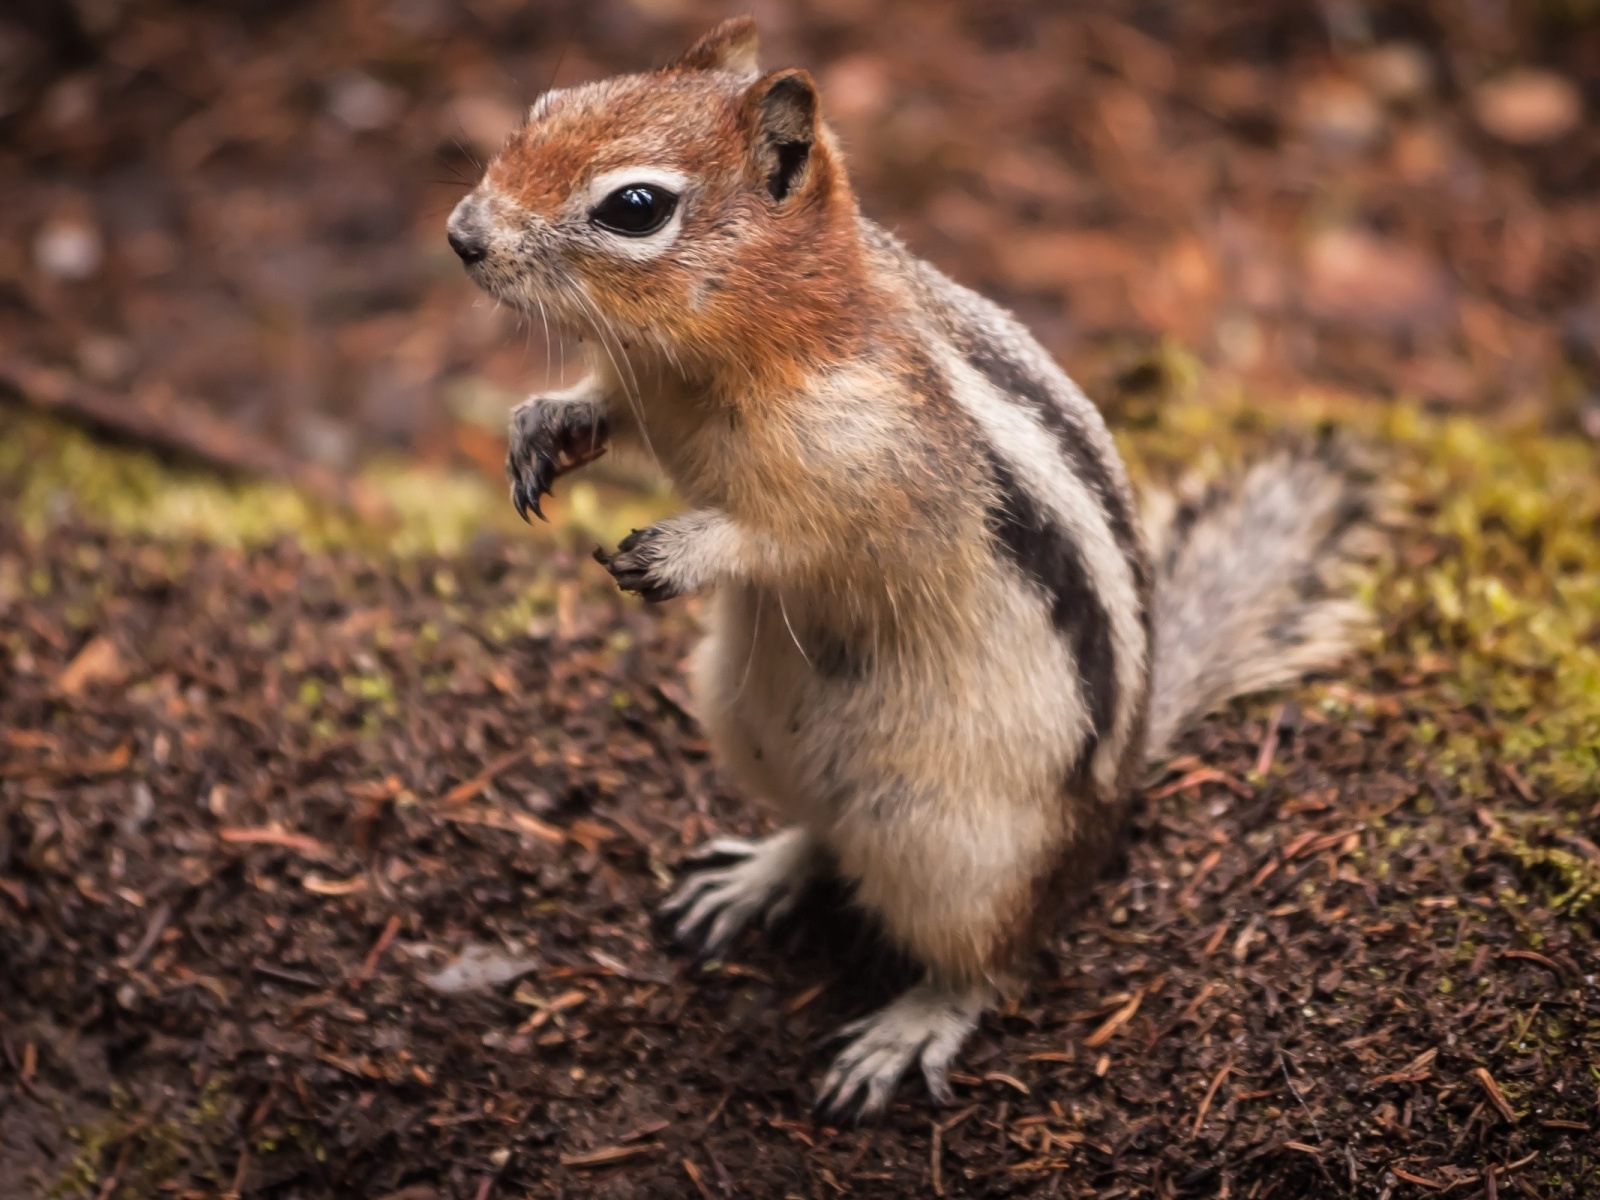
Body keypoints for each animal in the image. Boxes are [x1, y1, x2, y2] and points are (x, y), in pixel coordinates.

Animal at [444, 16, 1382, 1120]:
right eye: (548, 106)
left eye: (635, 207)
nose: (462, 234)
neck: (727, 344)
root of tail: (1114, 800)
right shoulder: (649, 387)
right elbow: (606, 407)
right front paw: (544, 422)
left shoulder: (880, 461)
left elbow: (796, 532)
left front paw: (683, 549)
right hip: (743, 720)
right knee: (823, 835)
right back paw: (757, 875)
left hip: (956, 848)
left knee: (992, 954)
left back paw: (914, 1022)